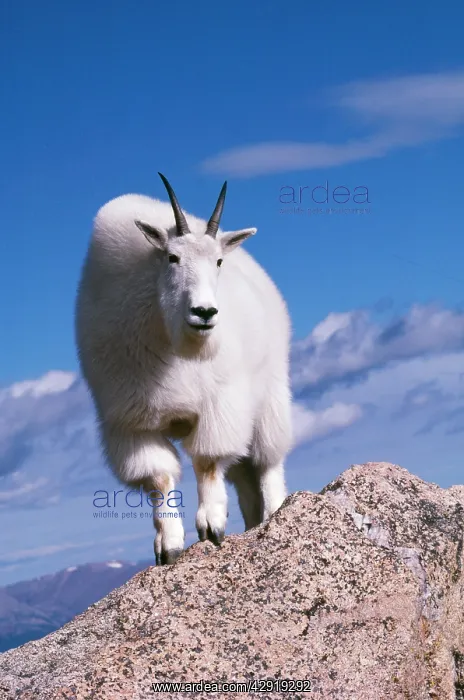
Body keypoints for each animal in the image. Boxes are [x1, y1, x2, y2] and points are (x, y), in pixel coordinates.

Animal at [75, 173, 292, 564]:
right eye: (172, 257)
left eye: (218, 261)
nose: (204, 313)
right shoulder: (132, 422)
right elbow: (159, 478)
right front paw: (169, 546)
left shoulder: (220, 403)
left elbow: (207, 462)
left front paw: (211, 527)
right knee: (244, 475)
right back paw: (253, 522)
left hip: (271, 395)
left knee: (267, 460)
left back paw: (275, 512)